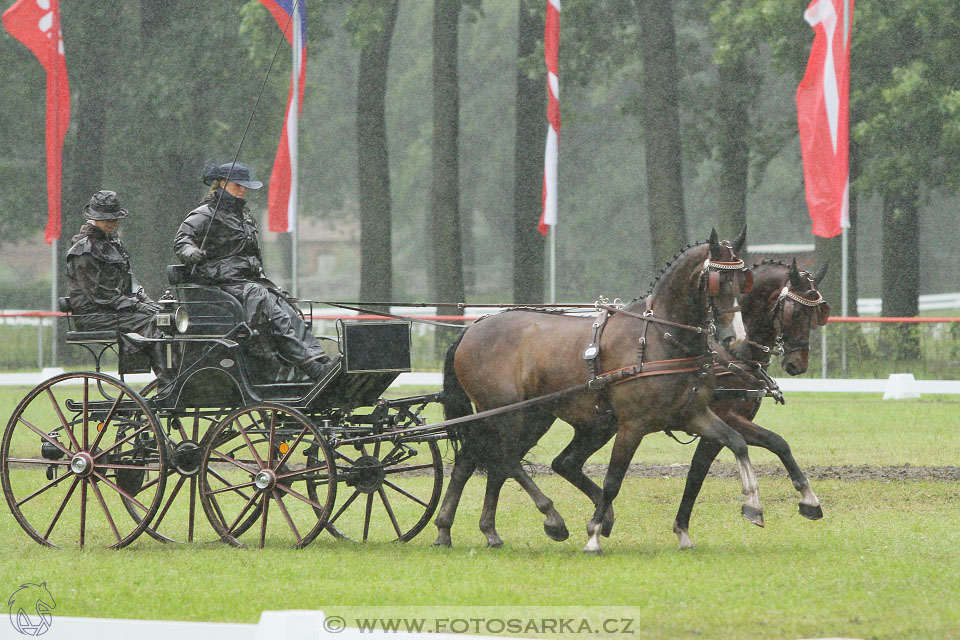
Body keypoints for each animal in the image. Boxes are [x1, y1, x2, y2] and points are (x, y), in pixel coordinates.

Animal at [434, 230, 756, 556]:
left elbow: (737, 443)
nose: (736, 338)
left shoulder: (694, 415)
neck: (660, 337)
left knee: (477, 460)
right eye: (717, 280)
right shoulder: (632, 425)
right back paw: (551, 519)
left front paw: (752, 503)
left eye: (743, 281)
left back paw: (464, 530)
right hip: (507, 414)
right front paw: (594, 535)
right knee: (505, 458)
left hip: (535, 417)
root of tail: (473, 327)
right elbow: (613, 480)